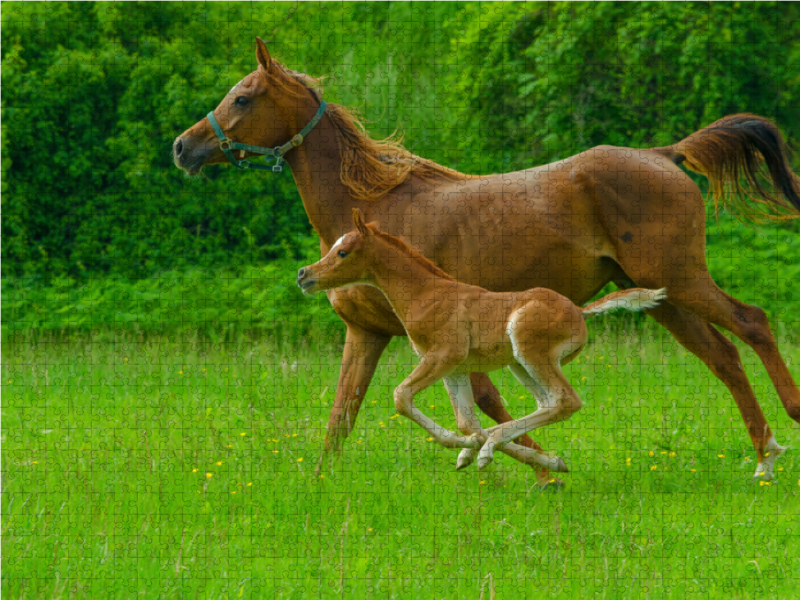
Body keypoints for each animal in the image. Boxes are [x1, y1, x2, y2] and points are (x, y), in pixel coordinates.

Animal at [296, 211, 664, 474]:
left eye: (343, 252)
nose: (304, 275)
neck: (425, 294)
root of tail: (578, 311)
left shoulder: (444, 353)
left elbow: (401, 396)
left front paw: (471, 447)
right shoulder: (455, 367)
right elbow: (467, 420)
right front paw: (470, 448)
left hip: (528, 345)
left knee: (565, 400)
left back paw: (491, 450)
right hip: (520, 364)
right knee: (549, 403)